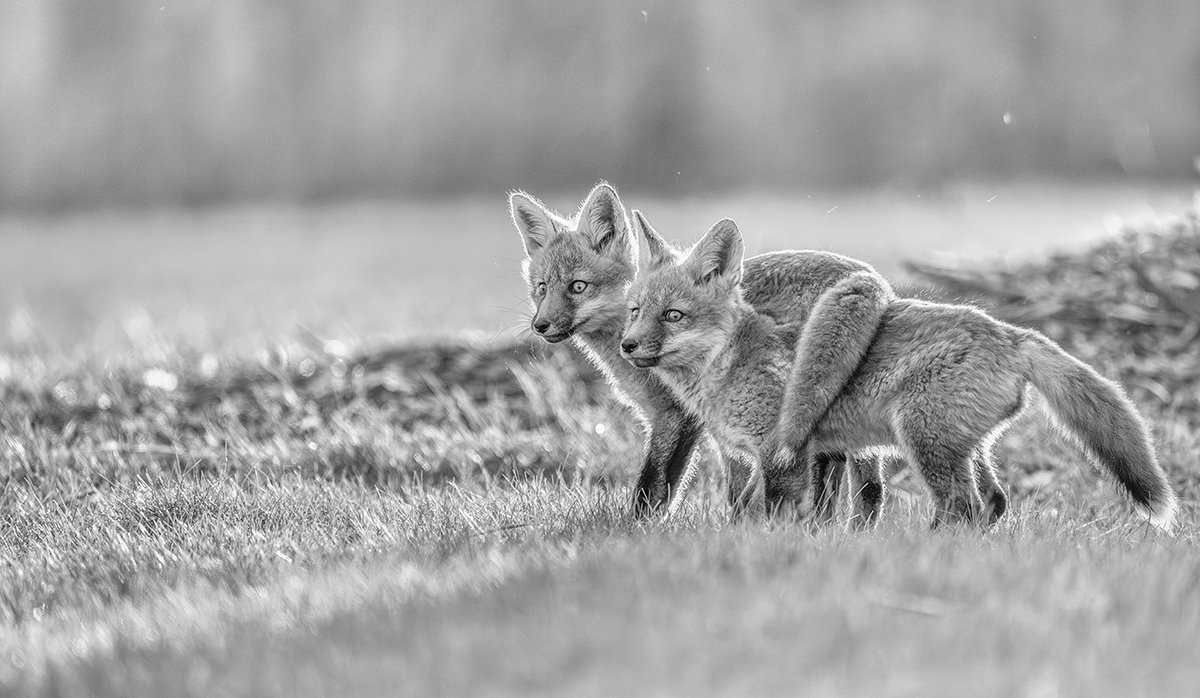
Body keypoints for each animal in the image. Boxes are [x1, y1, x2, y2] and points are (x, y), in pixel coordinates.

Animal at [509, 183, 893, 517]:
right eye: (541, 288)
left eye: (578, 286)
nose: (540, 326)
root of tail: (874, 279)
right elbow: (725, 487)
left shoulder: (677, 417)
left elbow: (652, 487)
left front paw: (638, 532)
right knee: (866, 489)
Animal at [619, 214, 1179, 531]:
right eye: (635, 311)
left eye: (673, 316)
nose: (627, 346)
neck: (729, 363)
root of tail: (1010, 332)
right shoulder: (763, 455)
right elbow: (749, 510)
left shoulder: (784, 453)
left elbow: (776, 514)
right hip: (960, 444)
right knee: (993, 501)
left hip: (922, 436)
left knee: (963, 506)